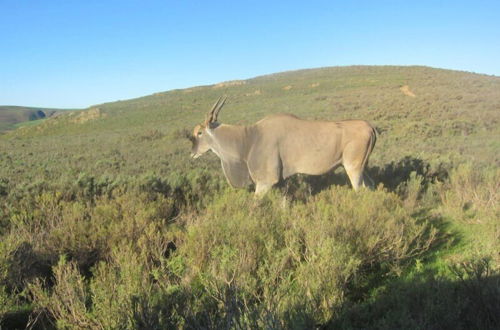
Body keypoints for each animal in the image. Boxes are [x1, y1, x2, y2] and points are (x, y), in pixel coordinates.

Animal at [189, 98, 376, 196]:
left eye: (199, 133)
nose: (192, 153)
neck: (249, 138)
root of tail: (369, 127)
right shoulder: (282, 182)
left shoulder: (265, 182)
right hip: (362, 168)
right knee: (371, 186)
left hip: (353, 169)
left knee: (360, 190)